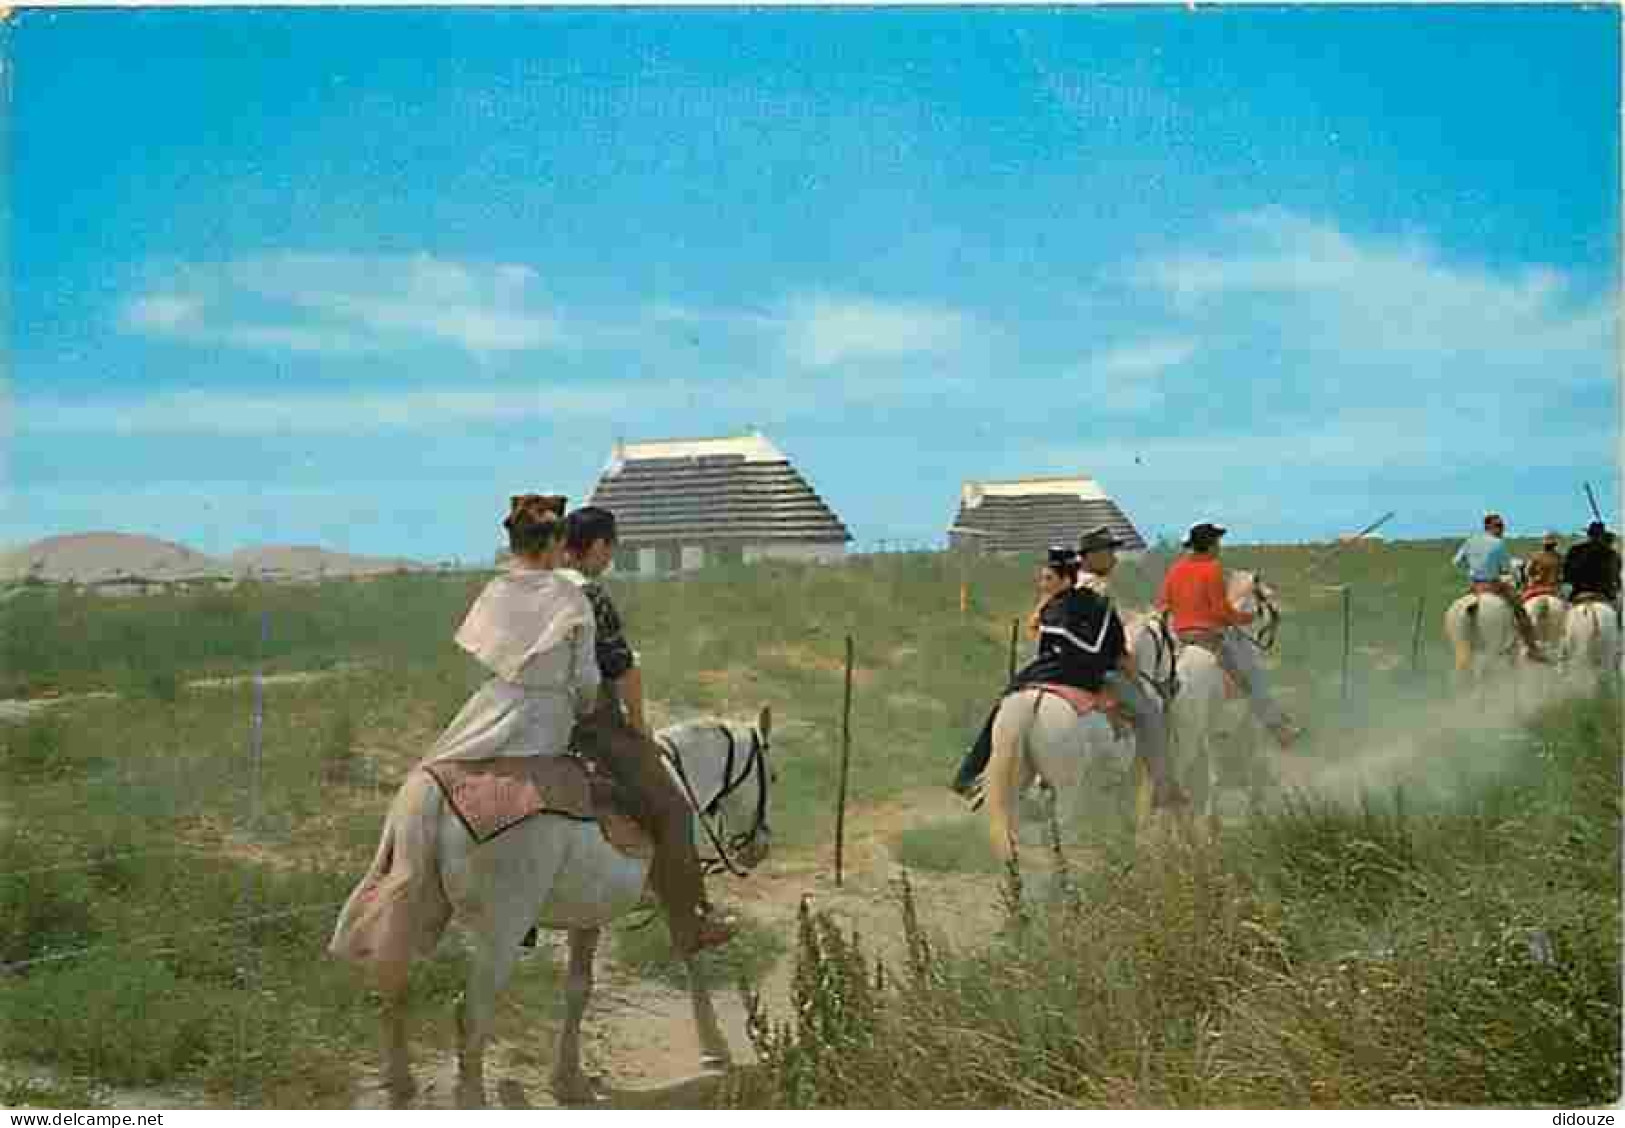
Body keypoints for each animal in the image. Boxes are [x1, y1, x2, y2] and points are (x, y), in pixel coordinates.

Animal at [329, 711, 773, 1111]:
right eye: (772, 777)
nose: (760, 846)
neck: (683, 779)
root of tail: (433, 801)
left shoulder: (588, 915)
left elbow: (577, 988)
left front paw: (568, 1078)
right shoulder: (667, 894)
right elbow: (690, 955)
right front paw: (714, 1046)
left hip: (419, 910)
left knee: (393, 985)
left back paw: (400, 1083)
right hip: (502, 930)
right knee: (471, 1010)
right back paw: (470, 1098)